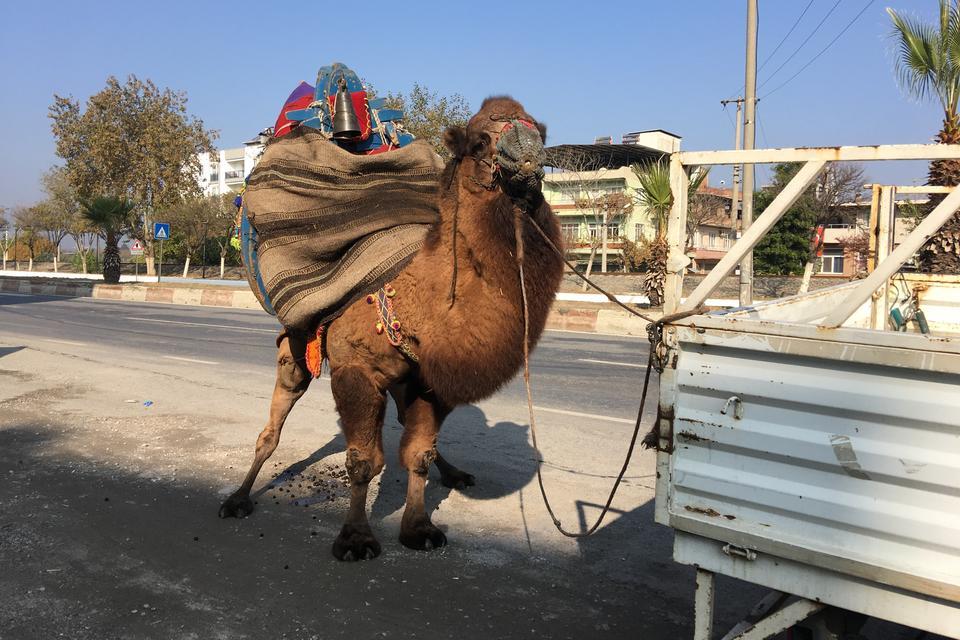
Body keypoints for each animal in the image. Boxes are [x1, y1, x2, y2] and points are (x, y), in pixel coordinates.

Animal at [218, 97, 564, 564]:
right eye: (479, 141)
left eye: (539, 131)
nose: (528, 153)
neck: (415, 296)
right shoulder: (355, 371)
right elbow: (364, 460)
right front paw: (355, 539)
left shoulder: (430, 381)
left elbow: (418, 454)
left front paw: (419, 528)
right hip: (297, 345)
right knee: (273, 421)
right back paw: (238, 498)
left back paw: (455, 473)